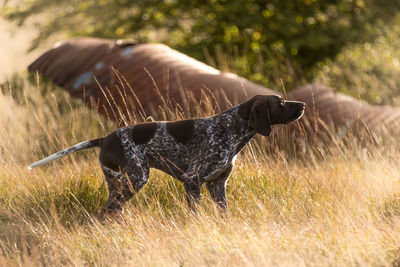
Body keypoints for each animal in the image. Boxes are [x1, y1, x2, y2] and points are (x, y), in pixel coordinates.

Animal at [28, 96, 304, 216]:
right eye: (280, 102)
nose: (302, 105)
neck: (231, 128)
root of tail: (105, 138)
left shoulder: (218, 185)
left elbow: (224, 214)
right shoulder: (193, 181)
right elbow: (194, 214)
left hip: (118, 183)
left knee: (110, 211)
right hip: (136, 178)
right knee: (107, 211)